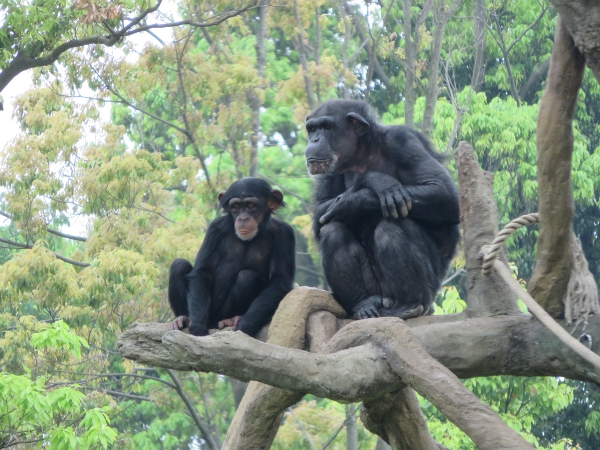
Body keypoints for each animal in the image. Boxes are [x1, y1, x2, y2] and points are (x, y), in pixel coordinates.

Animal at [169, 178, 296, 336]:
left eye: (251, 206)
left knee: (246, 276)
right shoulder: (215, 229)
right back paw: (184, 318)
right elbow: (202, 271)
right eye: (235, 207)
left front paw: (244, 327)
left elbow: (280, 280)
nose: (243, 218)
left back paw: (233, 319)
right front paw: (198, 326)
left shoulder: (285, 233)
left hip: (221, 315)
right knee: (179, 265)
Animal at [304, 101, 460, 320]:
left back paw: (408, 305)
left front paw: (356, 198)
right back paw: (363, 305)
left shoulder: (403, 141)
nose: (315, 139)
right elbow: (320, 214)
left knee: (393, 225)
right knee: (333, 231)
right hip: (375, 288)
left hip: (429, 290)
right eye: (312, 129)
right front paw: (375, 181)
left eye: (326, 127)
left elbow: (443, 192)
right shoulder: (329, 167)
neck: (363, 154)